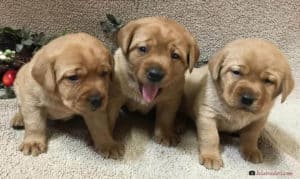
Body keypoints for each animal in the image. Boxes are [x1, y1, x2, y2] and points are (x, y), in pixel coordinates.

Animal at [109, 16, 200, 150]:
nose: (155, 74)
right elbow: (108, 117)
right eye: (143, 49)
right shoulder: (115, 97)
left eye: (175, 55)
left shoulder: (170, 100)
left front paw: (165, 134)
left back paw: (178, 123)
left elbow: (165, 118)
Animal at [183, 38, 292, 170]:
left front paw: (251, 150)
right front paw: (211, 156)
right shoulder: (207, 114)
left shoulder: (258, 120)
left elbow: (251, 136)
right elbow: (211, 137)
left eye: (268, 81)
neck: (237, 111)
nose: (247, 98)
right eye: (236, 72)